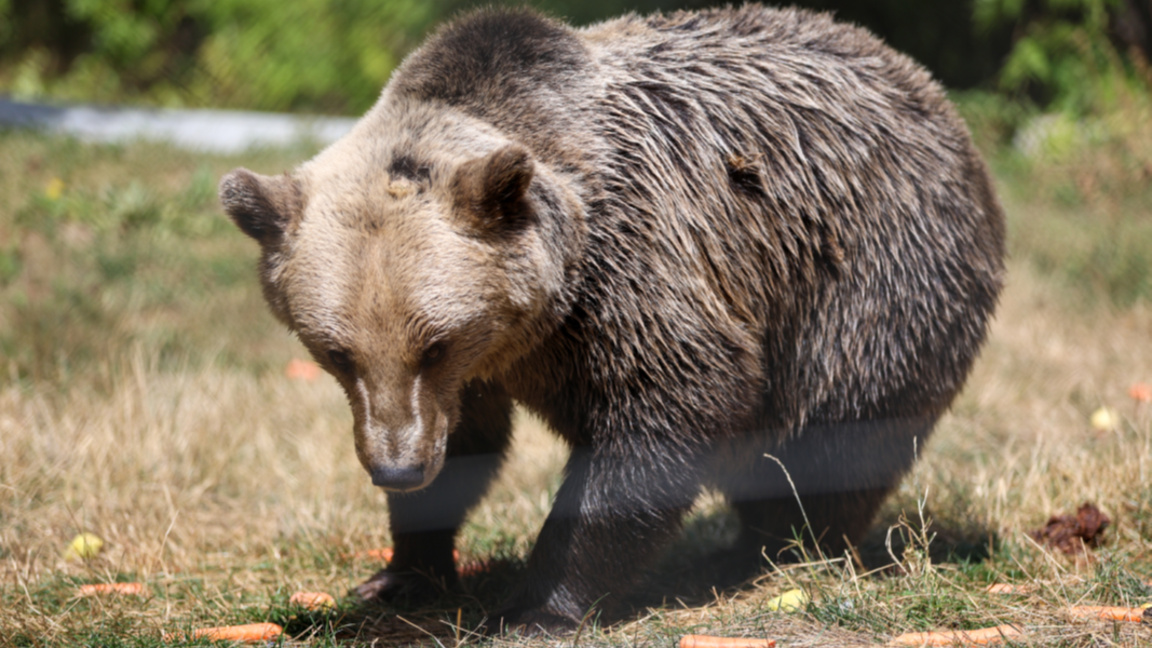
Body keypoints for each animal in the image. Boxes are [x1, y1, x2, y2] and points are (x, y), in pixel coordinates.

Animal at [219, 4, 1005, 635]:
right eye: (336, 352)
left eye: (435, 343)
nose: (397, 467)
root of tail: (928, 91)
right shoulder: (476, 373)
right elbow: (468, 444)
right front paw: (402, 571)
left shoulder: (633, 273)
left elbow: (664, 414)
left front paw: (540, 605)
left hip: (869, 277)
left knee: (835, 432)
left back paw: (775, 550)